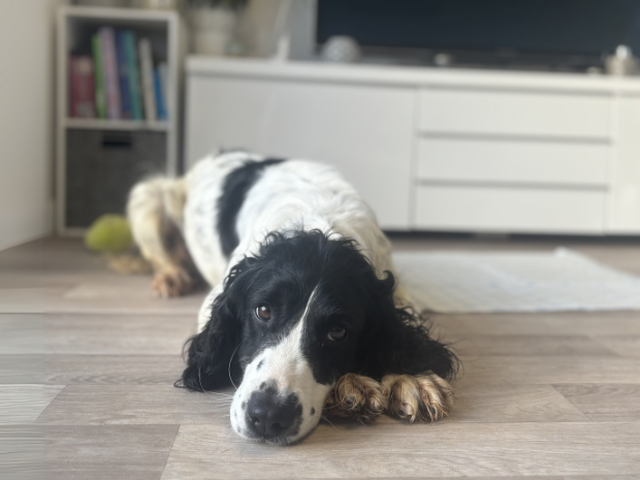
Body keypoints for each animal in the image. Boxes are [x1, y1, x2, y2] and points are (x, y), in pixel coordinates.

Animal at [127, 152, 458, 444]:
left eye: (338, 332)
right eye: (263, 311)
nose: (267, 416)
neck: (318, 222)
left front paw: (408, 378)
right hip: (150, 194)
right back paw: (172, 276)